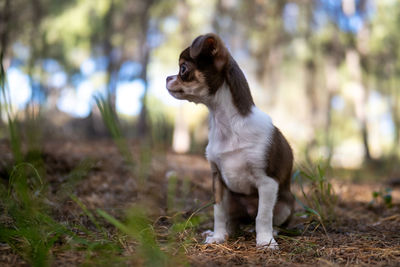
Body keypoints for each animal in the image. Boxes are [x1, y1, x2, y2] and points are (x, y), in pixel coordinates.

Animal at [166, 33, 294, 249]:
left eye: (183, 69)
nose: (167, 77)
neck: (226, 125)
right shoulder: (217, 178)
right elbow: (218, 212)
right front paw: (217, 237)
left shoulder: (267, 182)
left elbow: (263, 216)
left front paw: (265, 241)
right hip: (233, 200)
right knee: (232, 219)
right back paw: (226, 232)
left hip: (285, 205)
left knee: (267, 219)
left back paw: (270, 232)